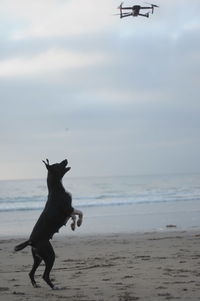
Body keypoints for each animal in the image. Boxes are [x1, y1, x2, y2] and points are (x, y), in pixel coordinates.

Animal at [14, 159, 83, 288]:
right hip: (50, 255)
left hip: (38, 258)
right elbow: (80, 212)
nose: (66, 159)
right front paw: (79, 223)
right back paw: (55, 287)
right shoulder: (68, 209)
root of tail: (31, 241)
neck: (56, 188)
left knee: (31, 273)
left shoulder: (68, 213)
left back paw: (36, 285)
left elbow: (74, 216)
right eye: (57, 164)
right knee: (45, 275)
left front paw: (73, 225)